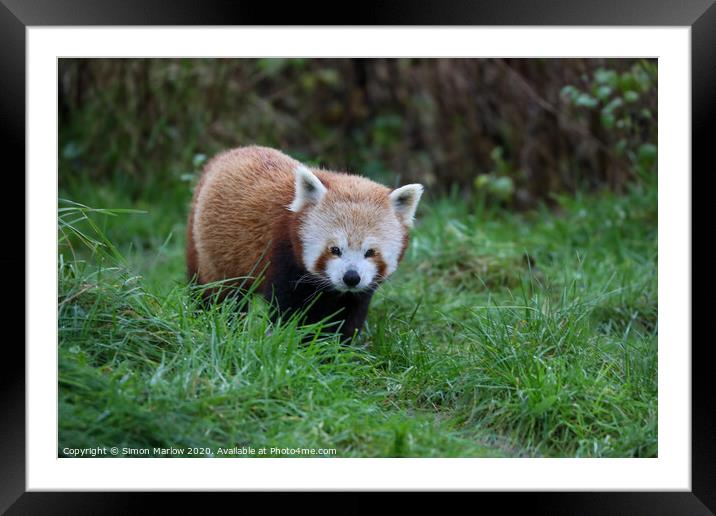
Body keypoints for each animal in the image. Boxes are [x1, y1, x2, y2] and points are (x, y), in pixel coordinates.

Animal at [189, 146, 426, 338]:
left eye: (370, 252)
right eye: (334, 249)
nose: (351, 277)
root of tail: (225, 154)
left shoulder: (360, 290)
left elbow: (349, 315)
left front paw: (338, 349)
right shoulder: (283, 255)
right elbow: (288, 310)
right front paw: (298, 341)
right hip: (209, 249)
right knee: (219, 295)